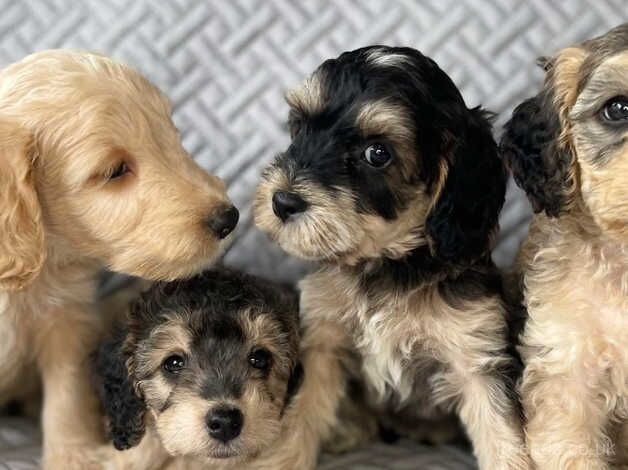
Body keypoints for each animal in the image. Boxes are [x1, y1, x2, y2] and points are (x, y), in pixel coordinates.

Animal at [0, 49, 238, 468]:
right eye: (114, 171)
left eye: (172, 137)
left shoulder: (66, 322)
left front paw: (73, 455)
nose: (228, 218)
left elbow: (66, 398)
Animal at [255, 45, 528, 470]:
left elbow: (502, 435)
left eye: (377, 153)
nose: (282, 201)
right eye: (300, 126)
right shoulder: (322, 343)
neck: (387, 262)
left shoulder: (476, 357)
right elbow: (300, 415)